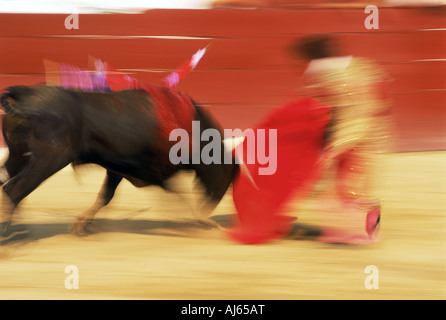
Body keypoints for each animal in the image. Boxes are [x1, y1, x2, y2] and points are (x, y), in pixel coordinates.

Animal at [0, 85, 240, 235]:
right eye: (227, 179)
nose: (208, 208)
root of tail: (23, 93)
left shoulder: (118, 168)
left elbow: (106, 195)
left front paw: (81, 224)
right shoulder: (157, 172)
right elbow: (179, 196)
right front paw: (197, 222)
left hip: (18, 156)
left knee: (8, 184)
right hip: (49, 159)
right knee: (14, 190)